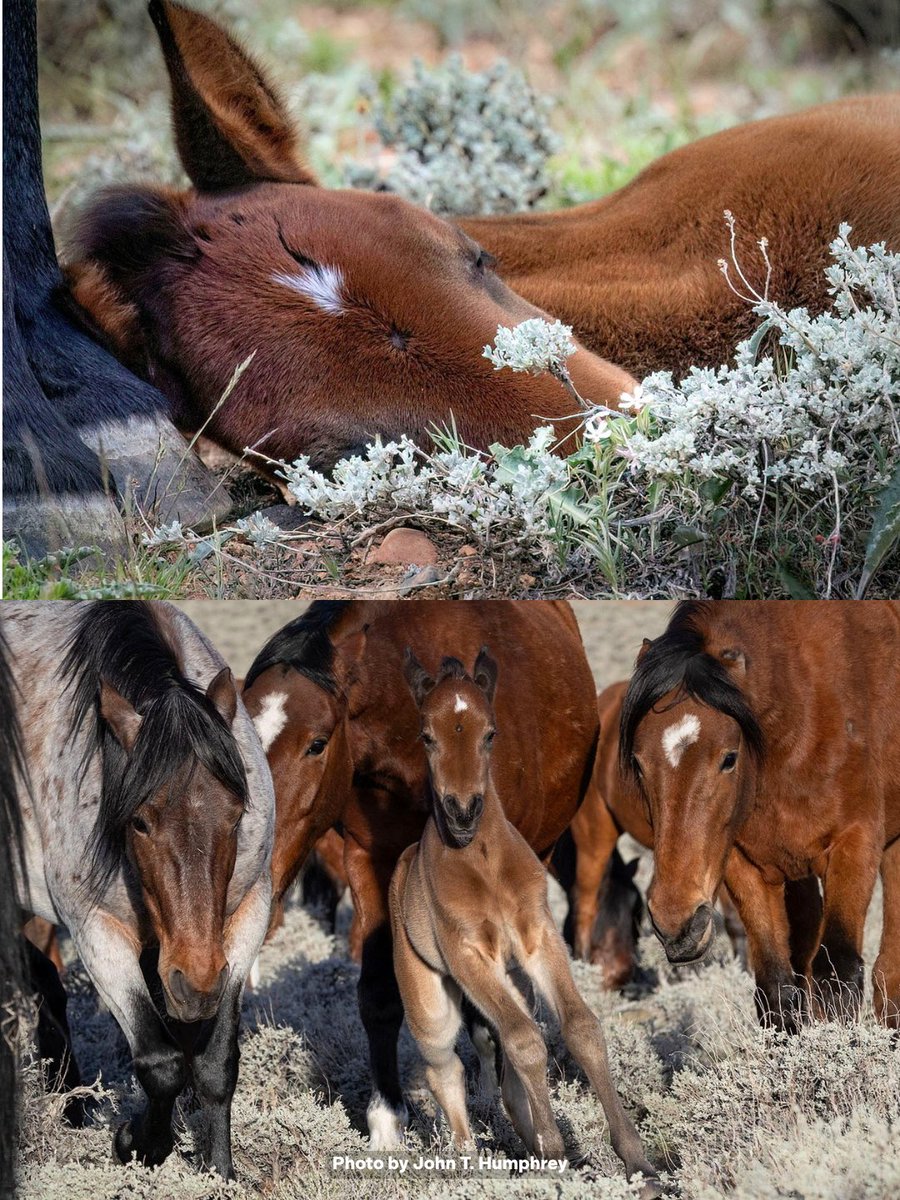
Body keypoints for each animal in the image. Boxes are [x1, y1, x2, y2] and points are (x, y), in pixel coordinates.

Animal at [5, 601, 275, 1178]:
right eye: (140, 823)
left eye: (236, 814)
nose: (195, 984)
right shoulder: (97, 933)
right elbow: (160, 1063)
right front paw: (137, 1144)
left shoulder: (245, 919)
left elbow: (216, 1064)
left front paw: (219, 1172)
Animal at [390, 648, 660, 1197]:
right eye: (426, 736)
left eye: (489, 733)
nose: (463, 811)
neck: (484, 863)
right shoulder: (469, 956)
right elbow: (525, 1041)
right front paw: (556, 1158)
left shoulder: (539, 940)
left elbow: (580, 1029)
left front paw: (638, 1165)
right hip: (432, 1001)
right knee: (445, 1067)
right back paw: (470, 1168)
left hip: (514, 982)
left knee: (505, 1065)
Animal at [619, 600, 900, 1030]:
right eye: (638, 763)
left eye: (729, 758)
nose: (677, 925)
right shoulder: (744, 864)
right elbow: (776, 988)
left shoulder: (856, 845)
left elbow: (837, 976)